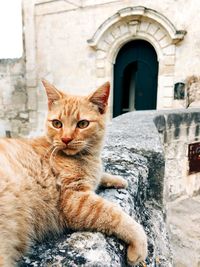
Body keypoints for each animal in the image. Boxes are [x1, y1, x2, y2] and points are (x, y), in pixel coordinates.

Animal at [0, 80, 147, 266]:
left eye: (82, 124)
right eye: (57, 123)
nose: (66, 139)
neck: (87, 158)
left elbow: (100, 174)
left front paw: (117, 179)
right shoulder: (75, 200)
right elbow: (115, 215)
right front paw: (139, 244)